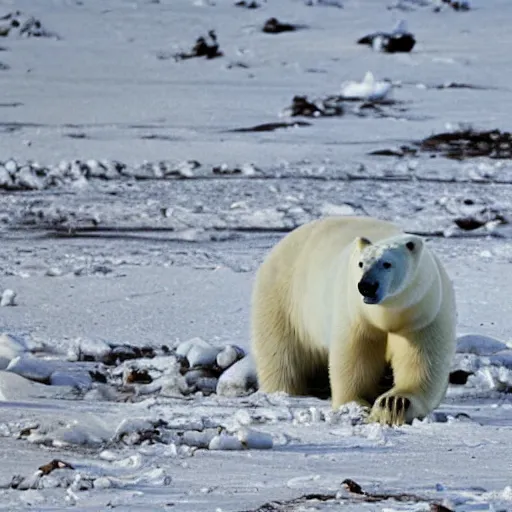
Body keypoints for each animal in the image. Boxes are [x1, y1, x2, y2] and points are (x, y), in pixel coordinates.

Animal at [252, 216, 456, 424]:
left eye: (387, 264)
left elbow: (421, 364)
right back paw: (285, 391)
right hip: (283, 300)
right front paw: (356, 404)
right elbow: (355, 358)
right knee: (281, 354)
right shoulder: (355, 315)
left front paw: (393, 403)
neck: (388, 315)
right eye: (361, 263)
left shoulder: (423, 315)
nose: (367, 285)